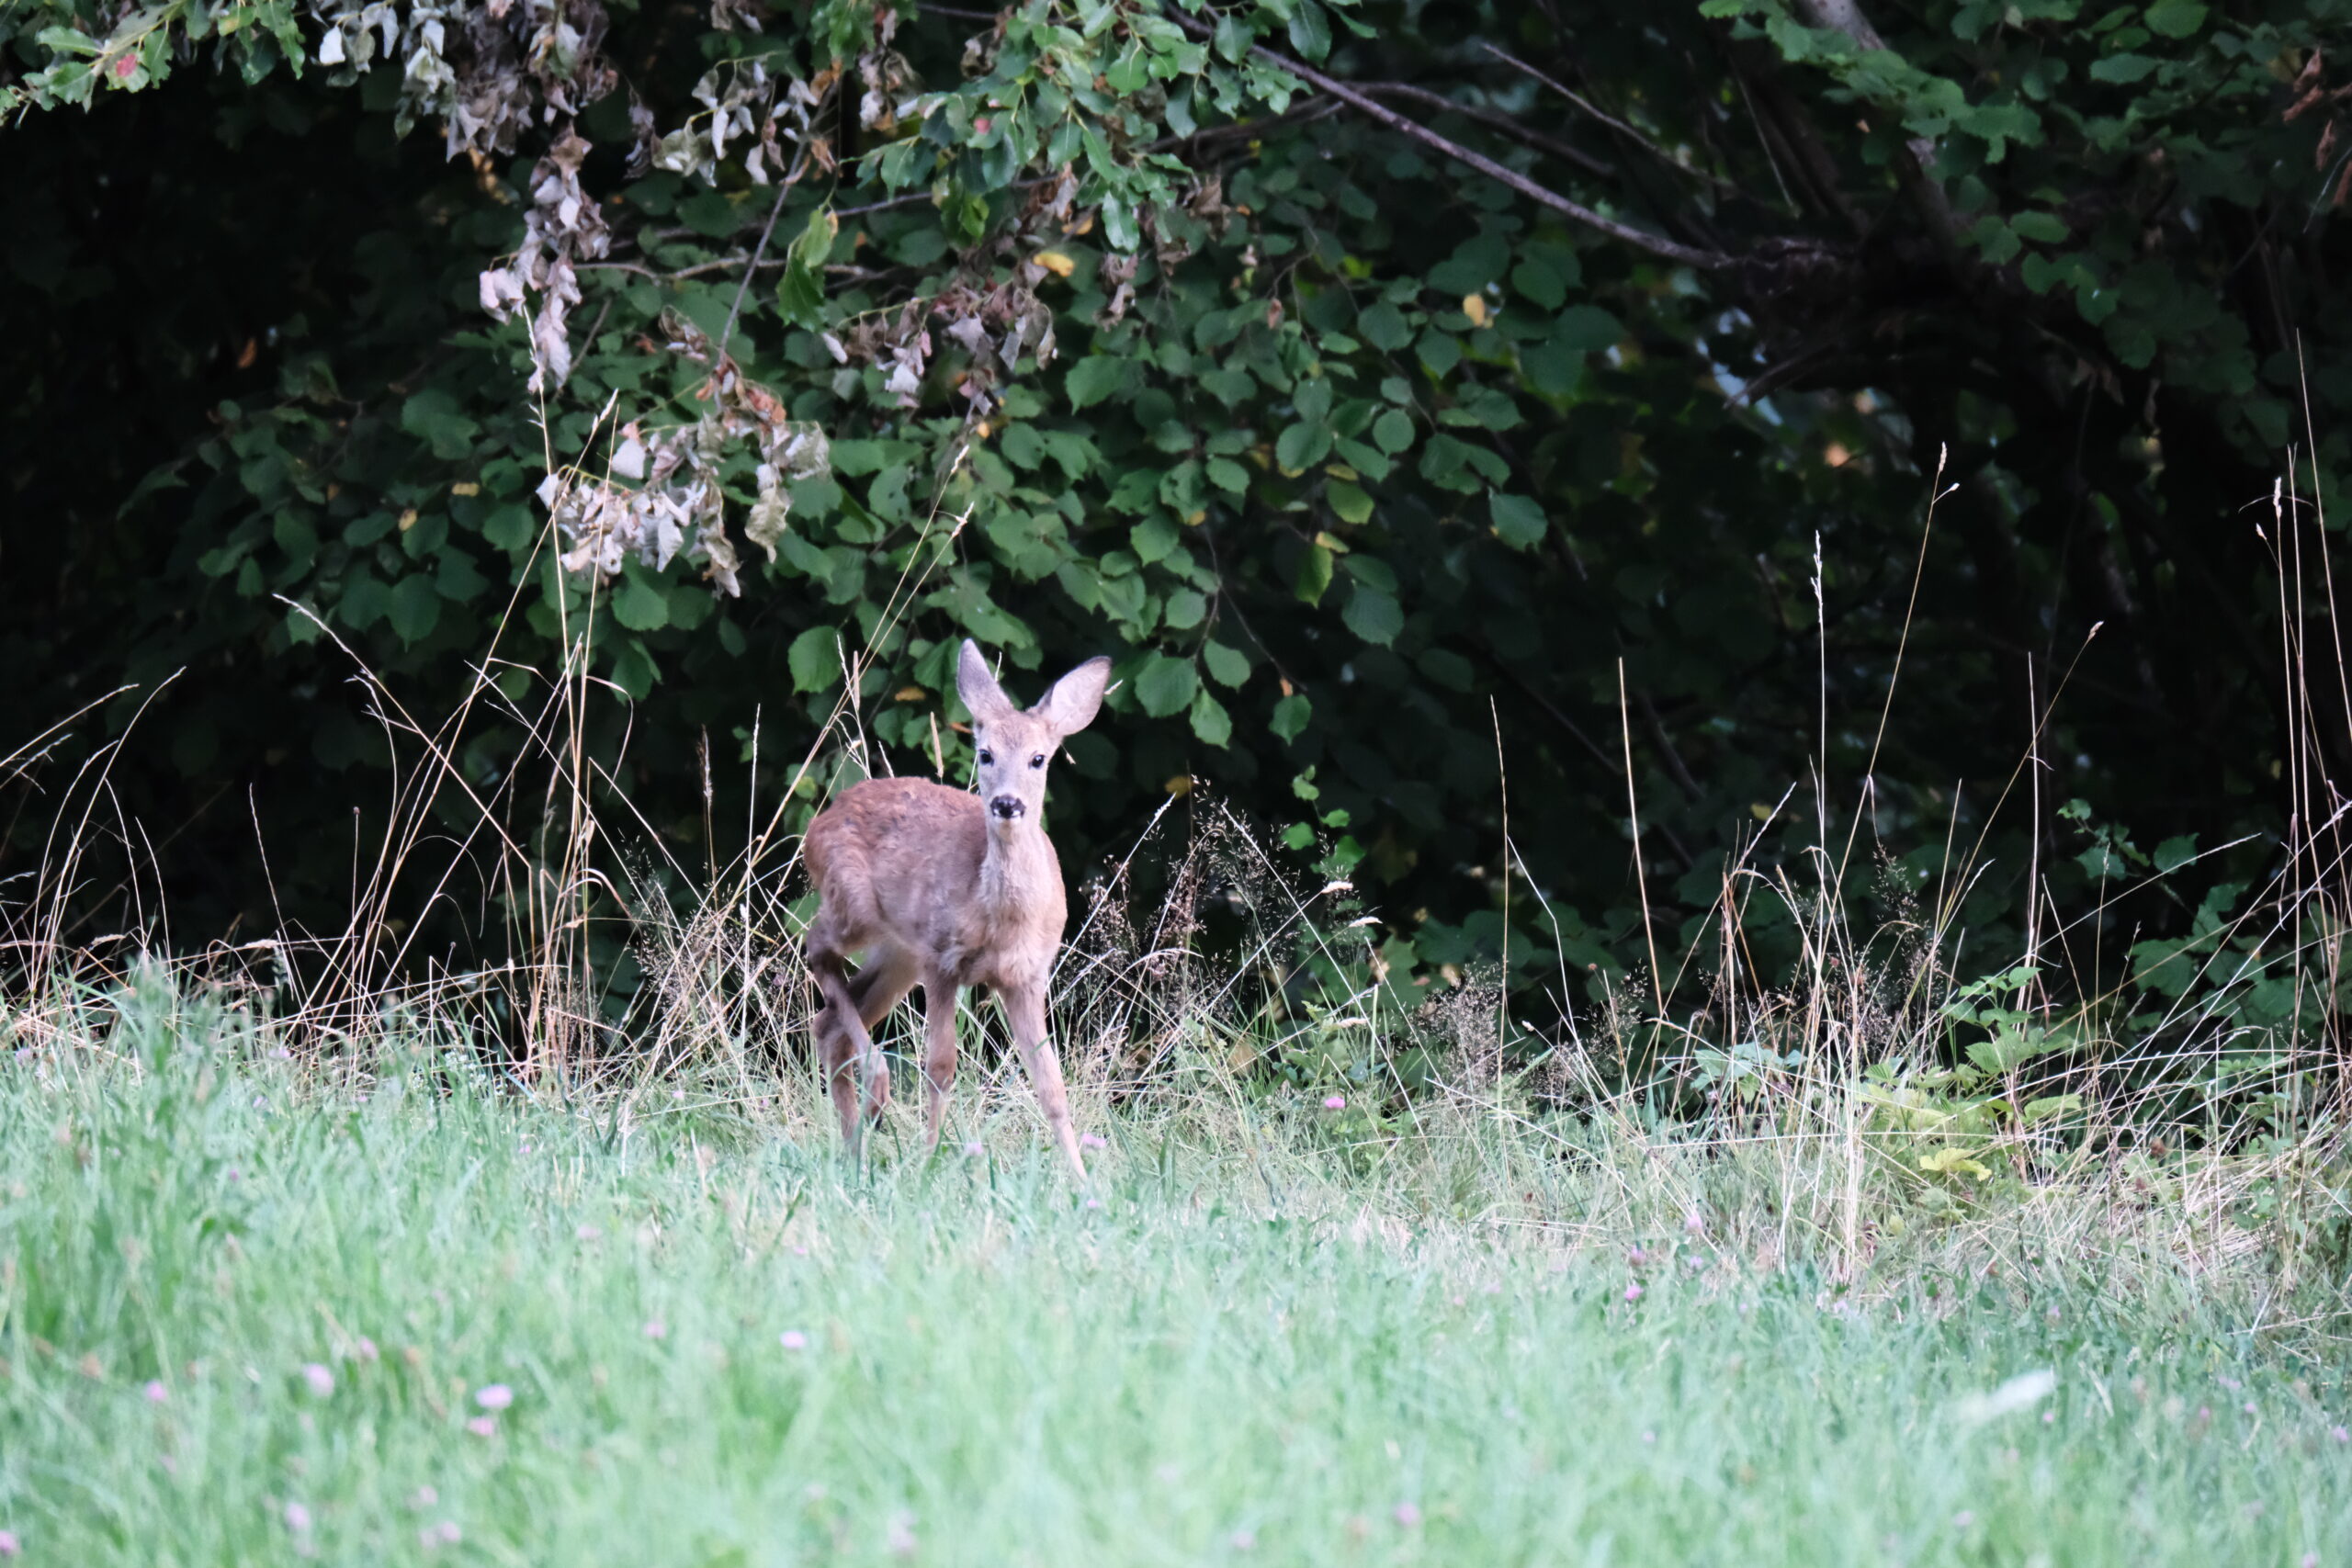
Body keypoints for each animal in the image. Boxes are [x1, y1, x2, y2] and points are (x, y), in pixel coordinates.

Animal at [800, 640, 1113, 1175]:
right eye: (985, 754)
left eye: (1038, 758)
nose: (1007, 803)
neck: (1002, 921)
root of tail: (818, 825)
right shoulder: (943, 961)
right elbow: (941, 1068)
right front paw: (928, 1166)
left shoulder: (1027, 976)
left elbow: (1051, 1085)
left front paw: (1083, 1181)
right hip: (856, 910)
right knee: (815, 947)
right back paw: (874, 1095)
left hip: (899, 956)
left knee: (829, 1025)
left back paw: (854, 1152)